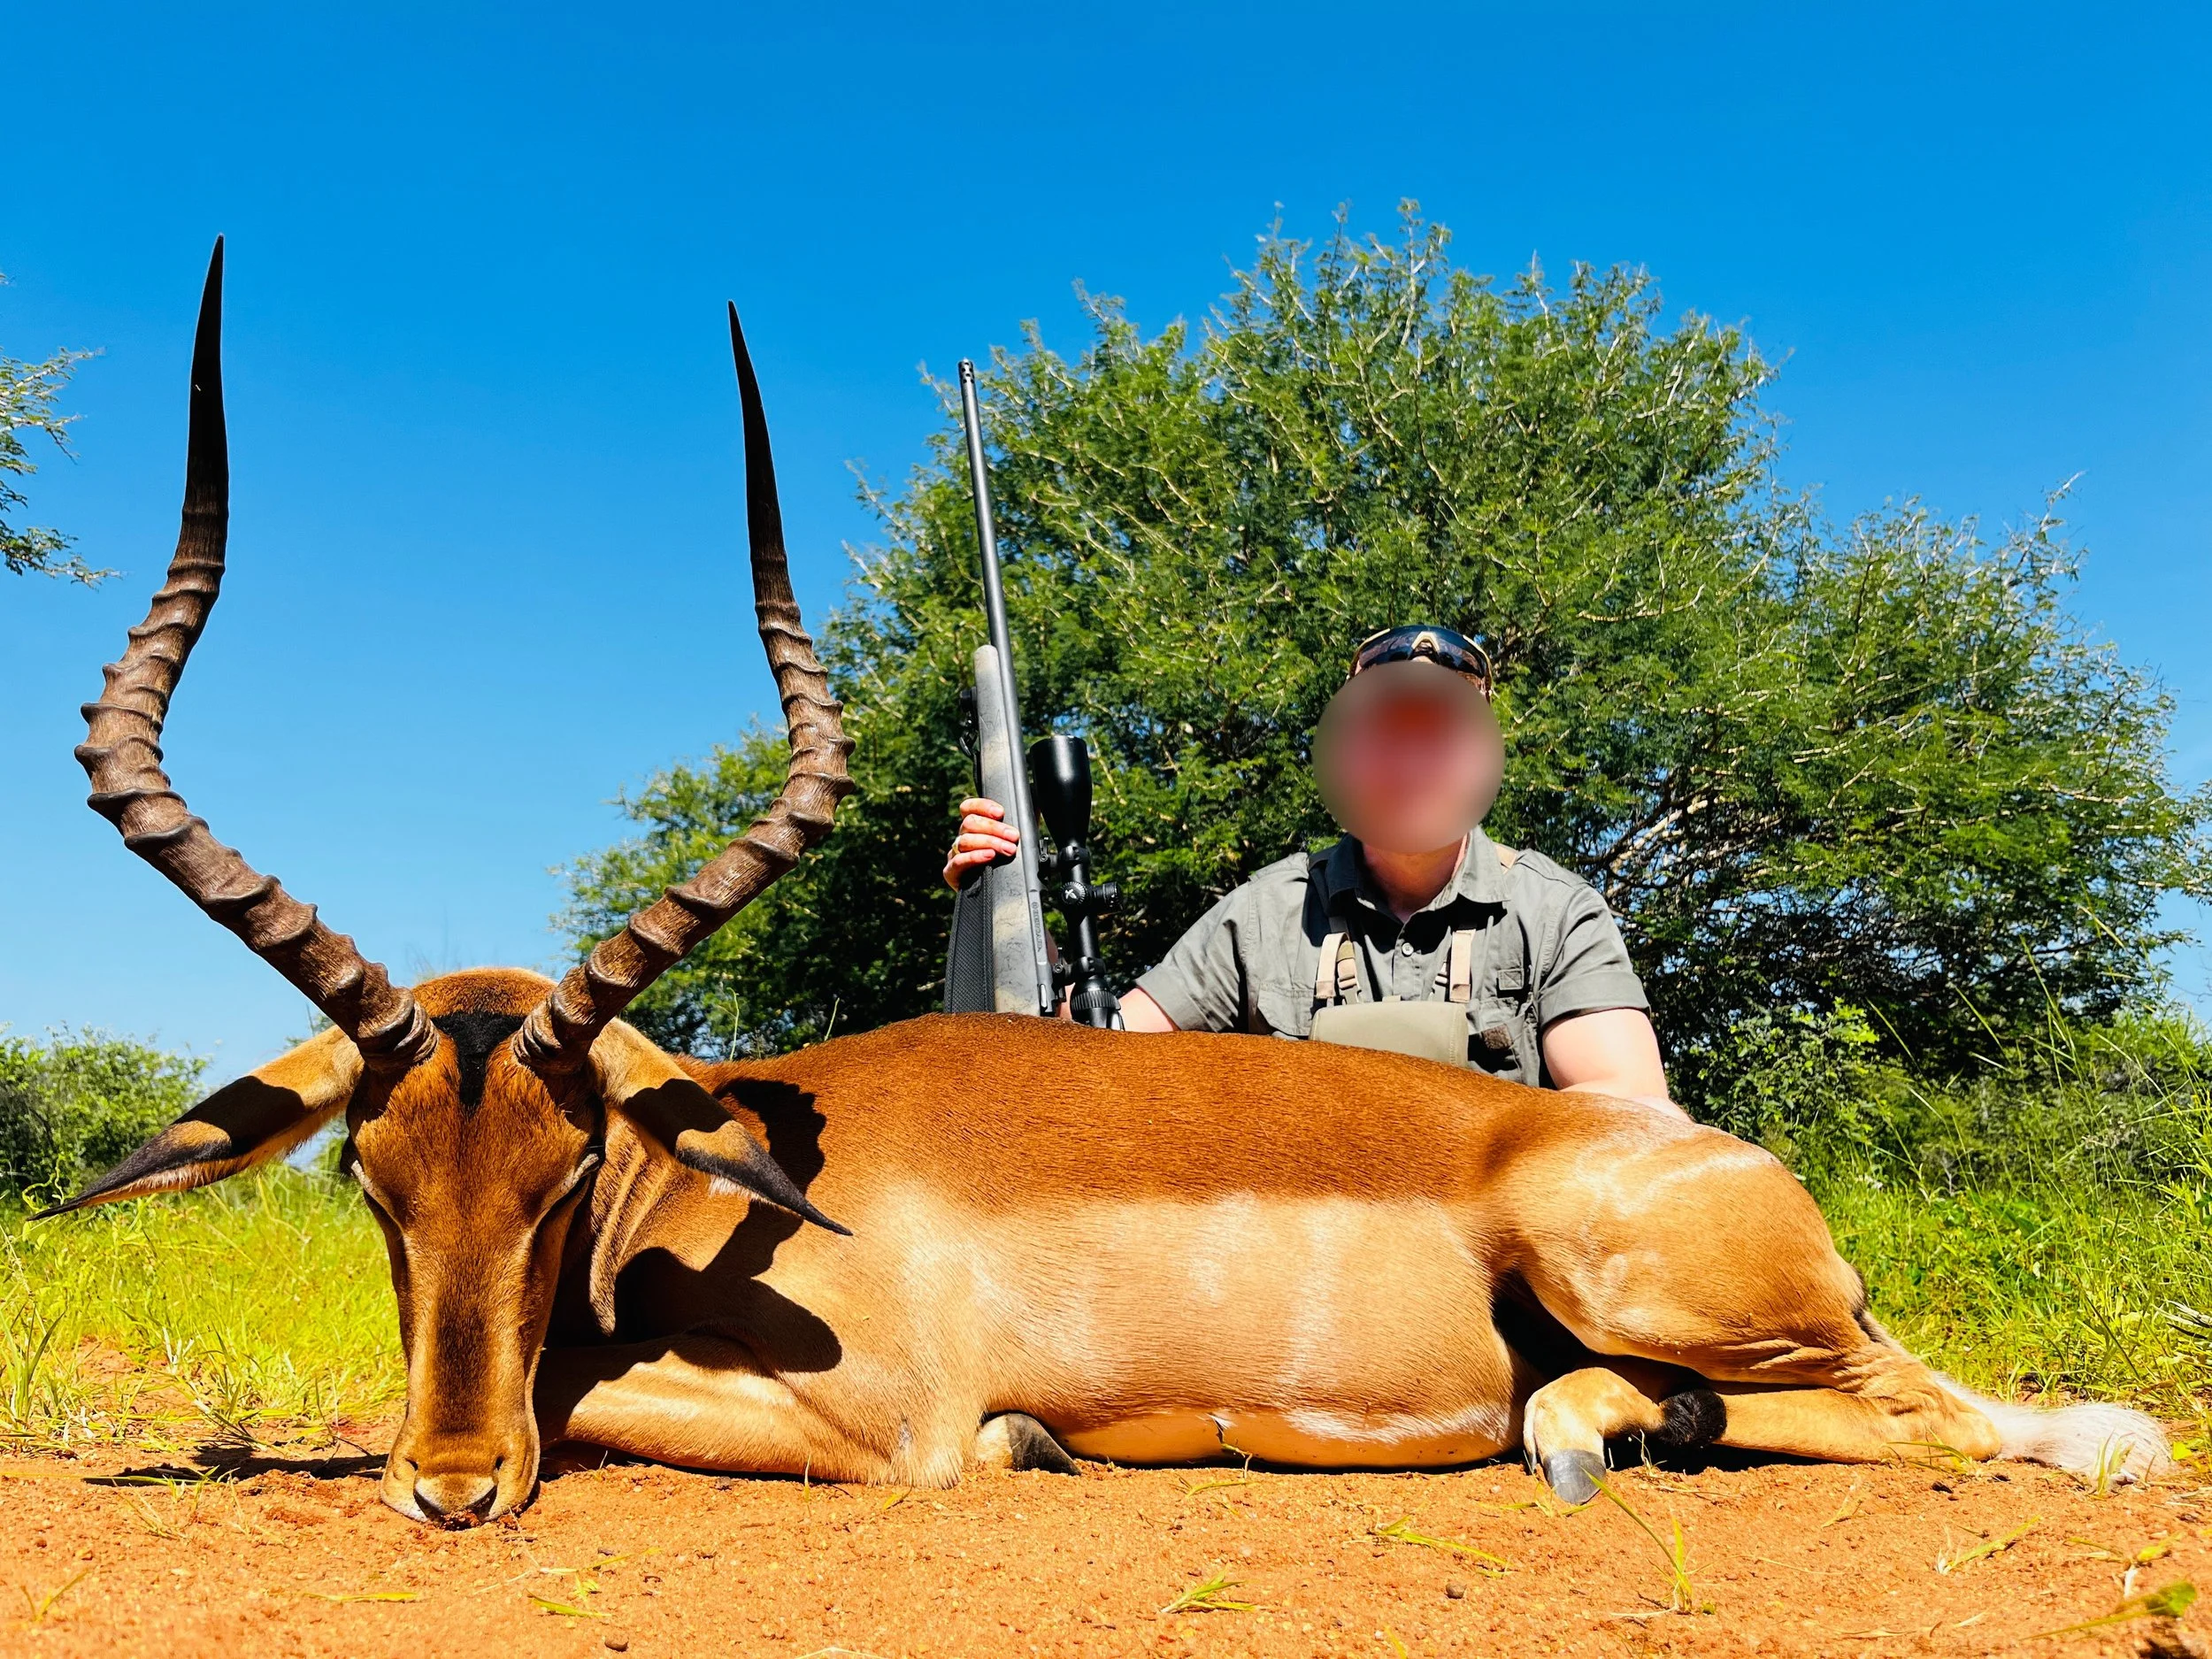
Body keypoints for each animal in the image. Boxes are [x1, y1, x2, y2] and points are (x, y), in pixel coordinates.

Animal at [50, 242, 2168, 1529]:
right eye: (371, 1175)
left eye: (569, 1168)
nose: (446, 1482)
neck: (710, 1209)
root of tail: (1726, 1164)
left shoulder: (881, 1426)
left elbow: (643, 1407)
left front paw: (1032, 1435)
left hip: (1657, 1275)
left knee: (1960, 1414)